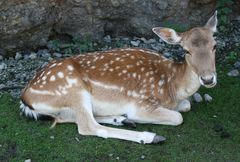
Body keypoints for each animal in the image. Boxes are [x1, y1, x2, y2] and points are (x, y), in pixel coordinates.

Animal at [19, 11, 218, 144]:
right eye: (186, 50)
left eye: (215, 45)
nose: (208, 79)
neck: (172, 87)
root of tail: (25, 98)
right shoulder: (141, 104)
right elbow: (178, 117)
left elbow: (186, 106)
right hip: (73, 89)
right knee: (87, 126)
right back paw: (149, 136)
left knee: (66, 118)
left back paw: (123, 119)